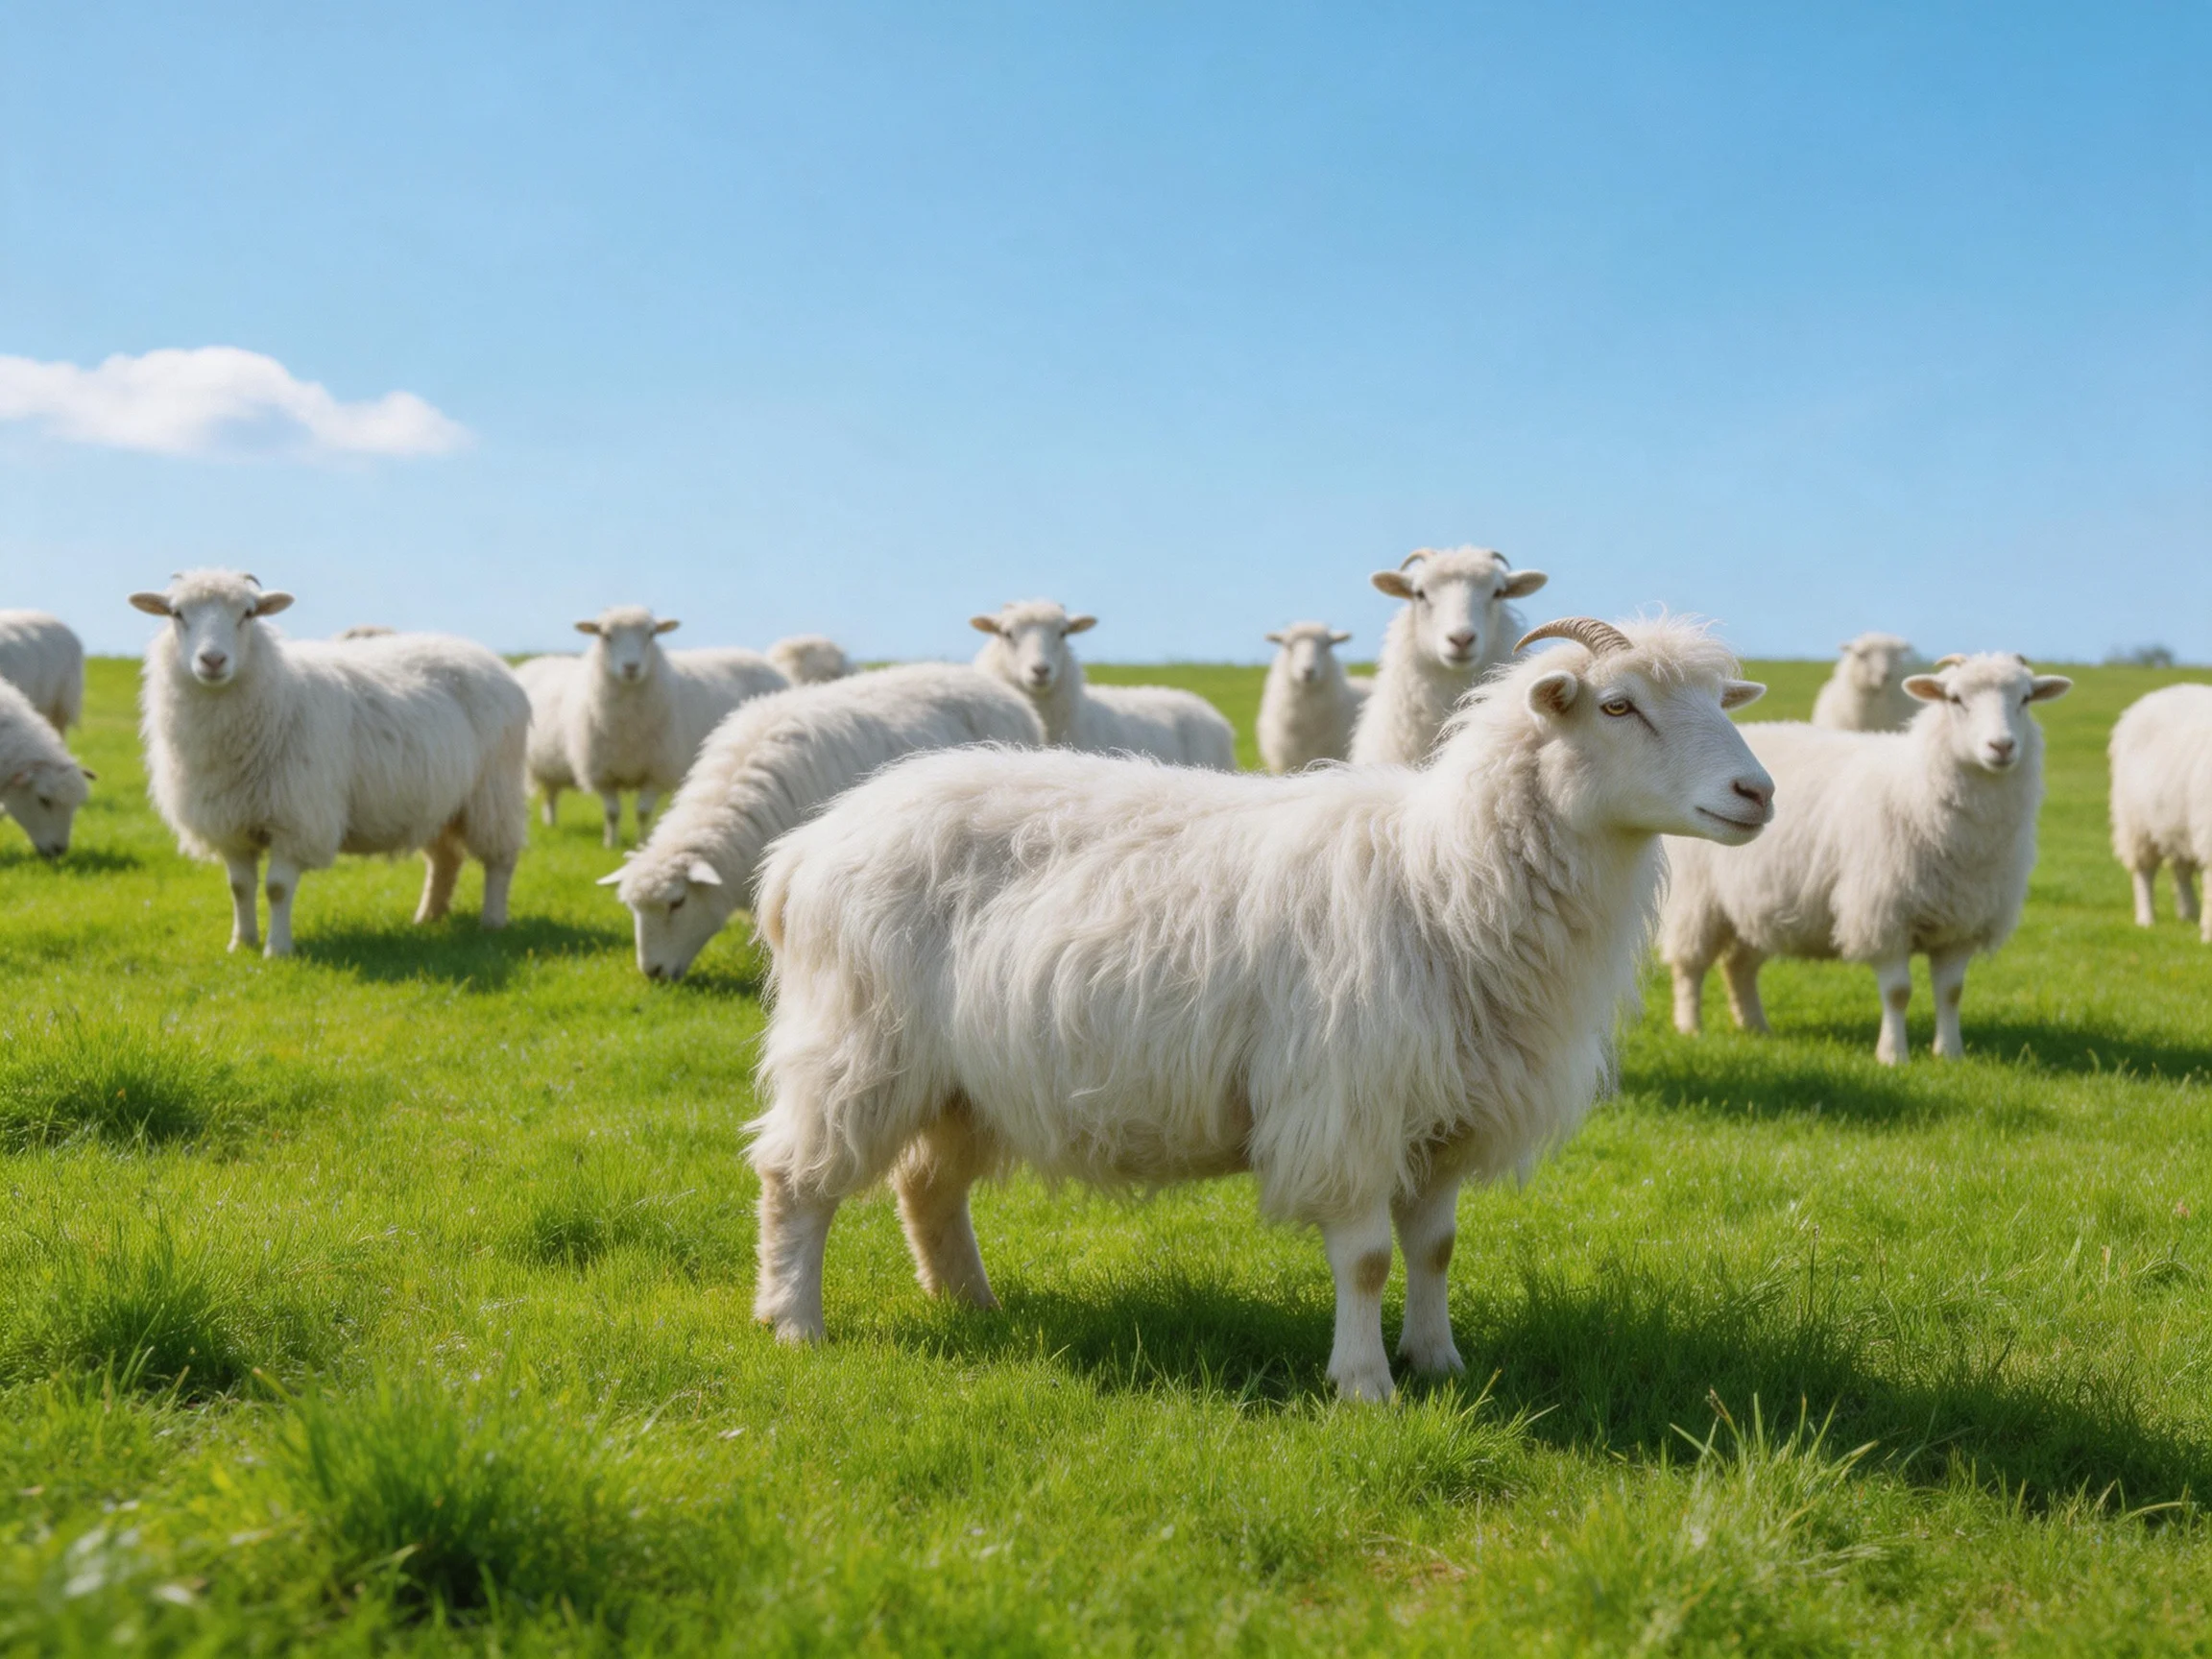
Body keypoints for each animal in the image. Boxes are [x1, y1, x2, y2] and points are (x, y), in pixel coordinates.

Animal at [130, 570, 531, 957]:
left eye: (248, 613)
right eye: (177, 613)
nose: (212, 661)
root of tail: (483, 654)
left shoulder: (295, 819)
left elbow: (276, 888)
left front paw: (277, 950)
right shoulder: (229, 824)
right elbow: (240, 887)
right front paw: (241, 944)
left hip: (494, 790)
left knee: (500, 859)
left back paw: (492, 921)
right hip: (437, 801)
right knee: (446, 860)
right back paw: (427, 918)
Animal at [563, 606, 789, 847]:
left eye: (651, 634)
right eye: (605, 635)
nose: (631, 667)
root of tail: (756, 657)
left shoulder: (657, 771)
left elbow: (642, 813)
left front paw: (642, 842)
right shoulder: (603, 774)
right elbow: (612, 813)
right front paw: (610, 843)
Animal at [1660, 652, 2072, 1065]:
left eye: (2025, 699)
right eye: (1955, 698)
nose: (2001, 747)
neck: (1917, 787)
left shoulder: (1961, 922)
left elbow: (1952, 992)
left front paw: (1950, 1054)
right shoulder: (1883, 914)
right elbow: (1898, 992)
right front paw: (1893, 1056)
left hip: (1756, 903)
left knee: (1738, 965)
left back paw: (1755, 1025)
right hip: (1697, 898)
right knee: (1689, 964)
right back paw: (1690, 1026)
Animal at [2109, 682, 2212, 942]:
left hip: (2178, 825)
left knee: (2180, 869)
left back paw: (2189, 914)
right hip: (2136, 824)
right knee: (2144, 872)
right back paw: (2146, 919)